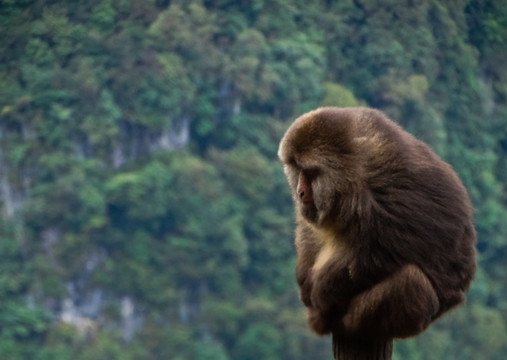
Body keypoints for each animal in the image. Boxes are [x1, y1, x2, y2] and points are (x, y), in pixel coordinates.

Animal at [280, 105, 478, 338]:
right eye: (297, 168)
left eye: (310, 173)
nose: (300, 192)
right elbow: (311, 230)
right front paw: (306, 284)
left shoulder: (377, 195)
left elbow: (389, 251)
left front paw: (323, 290)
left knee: (411, 281)